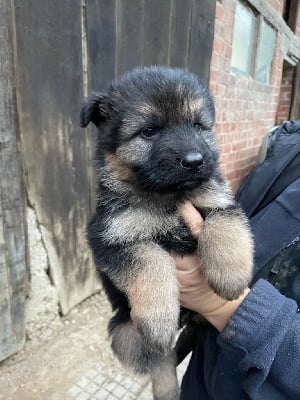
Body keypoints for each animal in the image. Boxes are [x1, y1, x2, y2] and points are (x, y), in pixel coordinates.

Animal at [80, 67, 253, 398]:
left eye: (198, 126)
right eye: (149, 132)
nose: (195, 162)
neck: (166, 197)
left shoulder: (220, 202)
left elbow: (223, 227)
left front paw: (231, 276)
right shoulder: (112, 237)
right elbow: (151, 260)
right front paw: (159, 316)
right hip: (125, 333)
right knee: (160, 357)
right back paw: (167, 386)